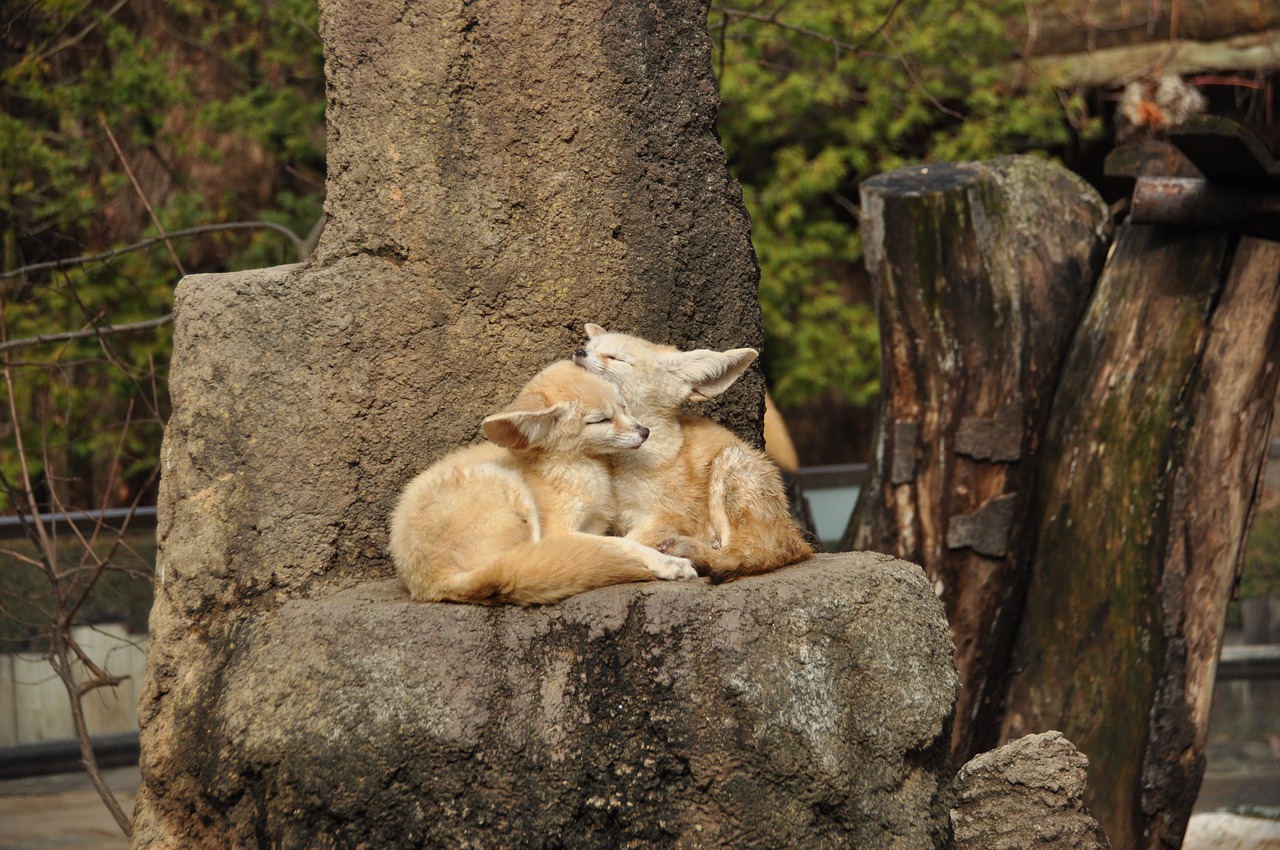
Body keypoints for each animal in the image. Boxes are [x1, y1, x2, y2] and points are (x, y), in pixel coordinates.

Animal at [386, 358, 696, 604]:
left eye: (623, 407)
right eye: (601, 420)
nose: (645, 432)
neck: (575, 468)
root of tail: (430, 584)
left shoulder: (591, 524)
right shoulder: (559, 531)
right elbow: (623, 544)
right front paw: (668, 562)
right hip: (509, 486)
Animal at [576, 322, 814, 581]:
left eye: (616, 358)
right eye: (591, 348)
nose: (579, 352)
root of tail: (796, 536)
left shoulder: (670, 516)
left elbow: (624, 543)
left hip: (729, 468)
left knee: (751, 552)